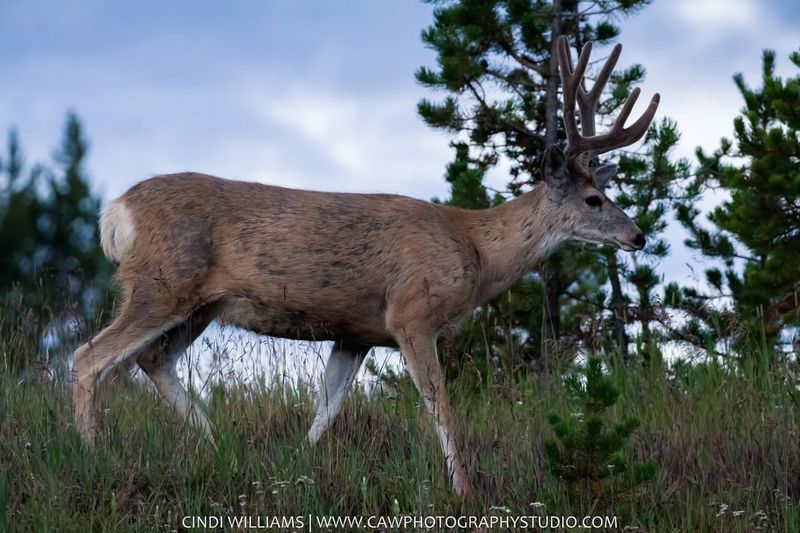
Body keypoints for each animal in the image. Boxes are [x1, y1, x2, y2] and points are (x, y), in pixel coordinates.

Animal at [73, 35, 656, 496]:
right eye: (594, 200)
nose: (638, 235)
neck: (475, 249)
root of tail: (115, 212)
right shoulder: (411, 313)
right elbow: (439, 404)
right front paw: (464, 491)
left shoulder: (356, 332)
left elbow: (325, 410)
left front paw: (296, 468)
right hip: (161, 283)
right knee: (89, 357)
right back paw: (94, 454)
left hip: (200, 304)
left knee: (151, 360)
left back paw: (218, 445)